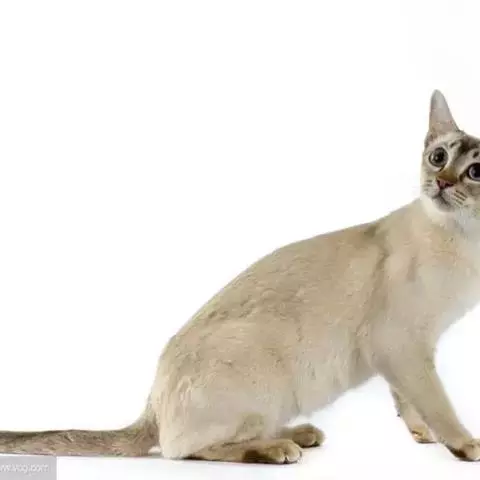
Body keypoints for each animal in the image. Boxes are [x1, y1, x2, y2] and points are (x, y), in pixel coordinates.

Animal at [2, 90, 480, 463]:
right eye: (438, 157)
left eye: (473, 171)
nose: (441, 181)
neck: (465, 243)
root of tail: (151, 400)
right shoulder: (401, 346)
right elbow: (436, 403)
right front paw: (463, 444)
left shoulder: (405, 354)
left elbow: (408, 401)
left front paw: (420, 435)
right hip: (264, 376)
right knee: (182, 449)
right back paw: (276, 448)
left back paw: (298, 434)